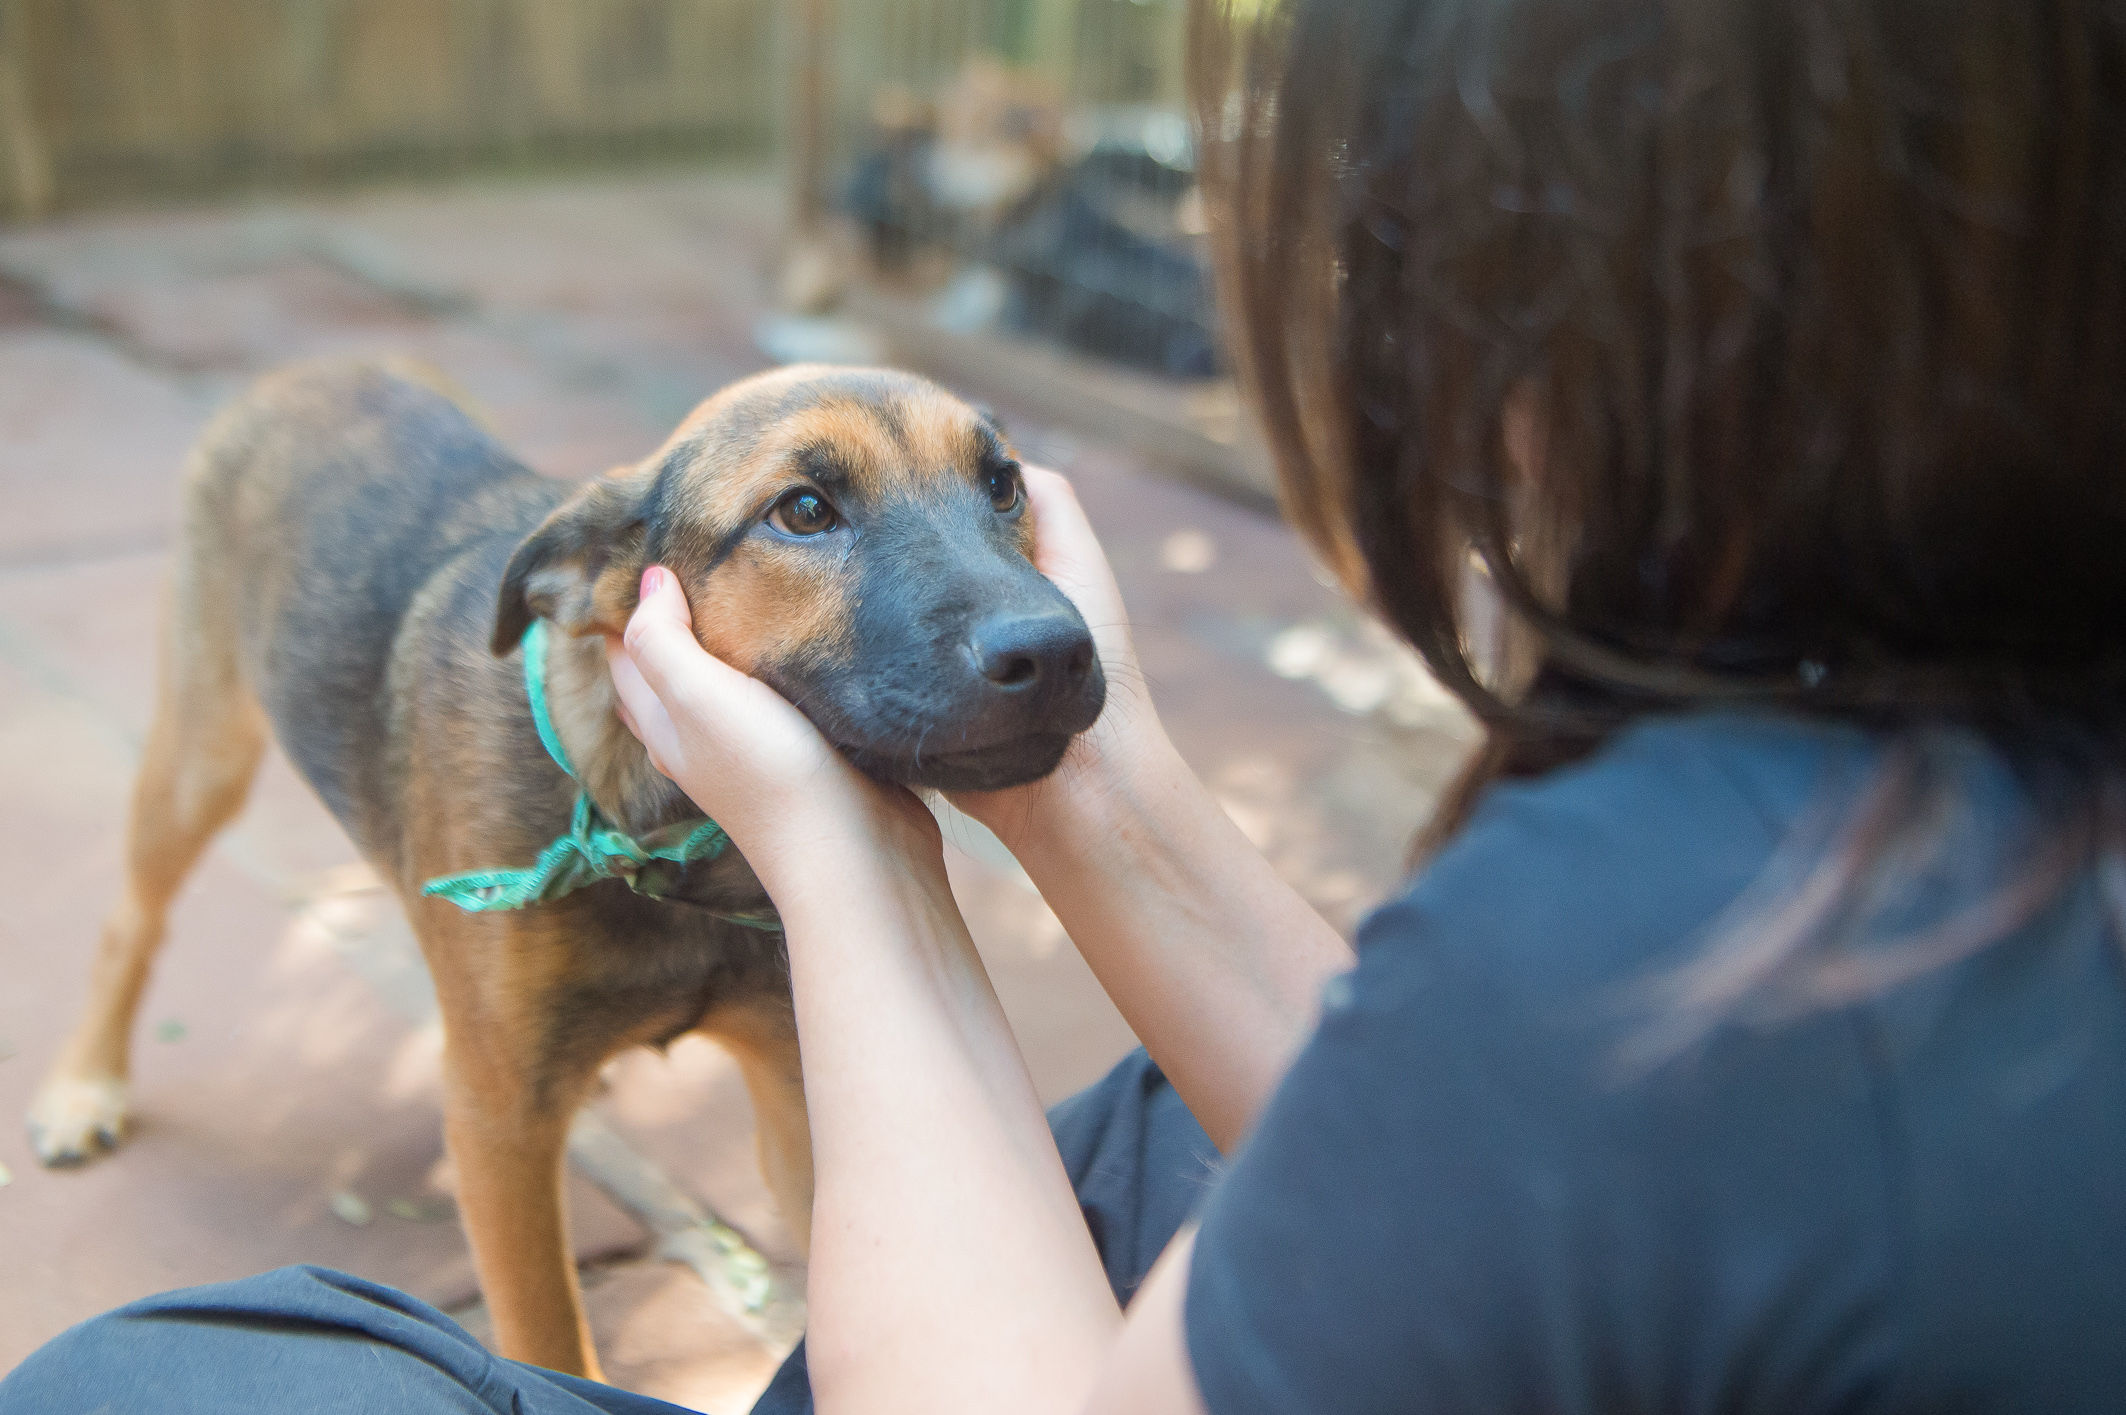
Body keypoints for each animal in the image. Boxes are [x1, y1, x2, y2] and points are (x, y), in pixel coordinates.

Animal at [24, 359, 1105, 1368]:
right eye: (803, 510)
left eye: (1004, 484)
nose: (1055, 652)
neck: (663, 837)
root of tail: (322, 366)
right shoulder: (498, 1127)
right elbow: (544, 1333)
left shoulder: (797, 1093)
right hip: (200, 753)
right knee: (132, 918)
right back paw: (84, 1088)